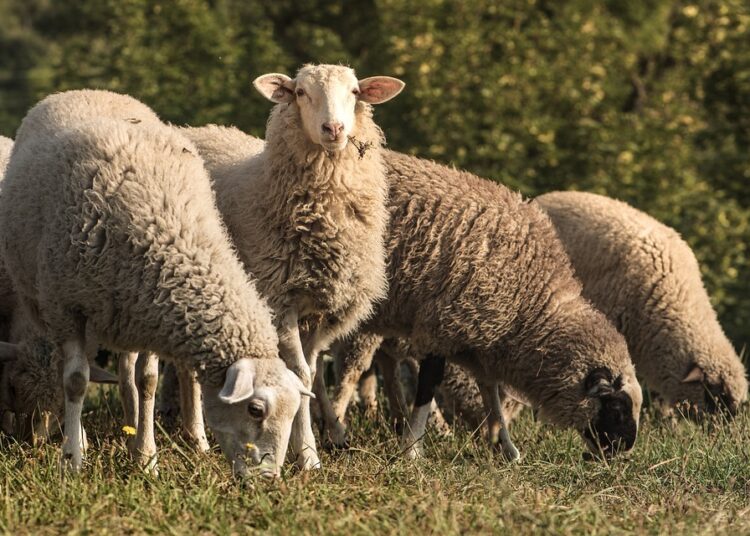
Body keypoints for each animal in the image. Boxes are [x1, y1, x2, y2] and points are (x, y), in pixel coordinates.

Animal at [0, 89, 312, 477]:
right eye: (255, 409)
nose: (268, 479)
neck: (165, 225)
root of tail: (90, 91)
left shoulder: (149, 308)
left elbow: (147, 380)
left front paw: (146, 457)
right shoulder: (66, 307)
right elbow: (74, 381)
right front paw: (72, 459)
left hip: (117, 312)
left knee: (125, 371)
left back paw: (131, 427)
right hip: (45, 301)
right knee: (64, 368)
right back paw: (80, 439)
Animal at [172, 124, 642, 461]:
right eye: (617, 407)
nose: (623, 454)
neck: (534, 306)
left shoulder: (479, 336)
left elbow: (489, 391)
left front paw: (507, 447)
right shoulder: (444, 324)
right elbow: (428, 388)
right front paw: (413, 449)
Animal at [178, 64, 404, 468]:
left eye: (355, 91)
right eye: (301, 93)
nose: (334, 129)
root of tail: (196, 128)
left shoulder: (320, 311)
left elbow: (311, 373)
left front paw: (311, 447)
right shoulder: (279, 299)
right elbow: (298, 373)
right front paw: (309, 457)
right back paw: (198, 437)